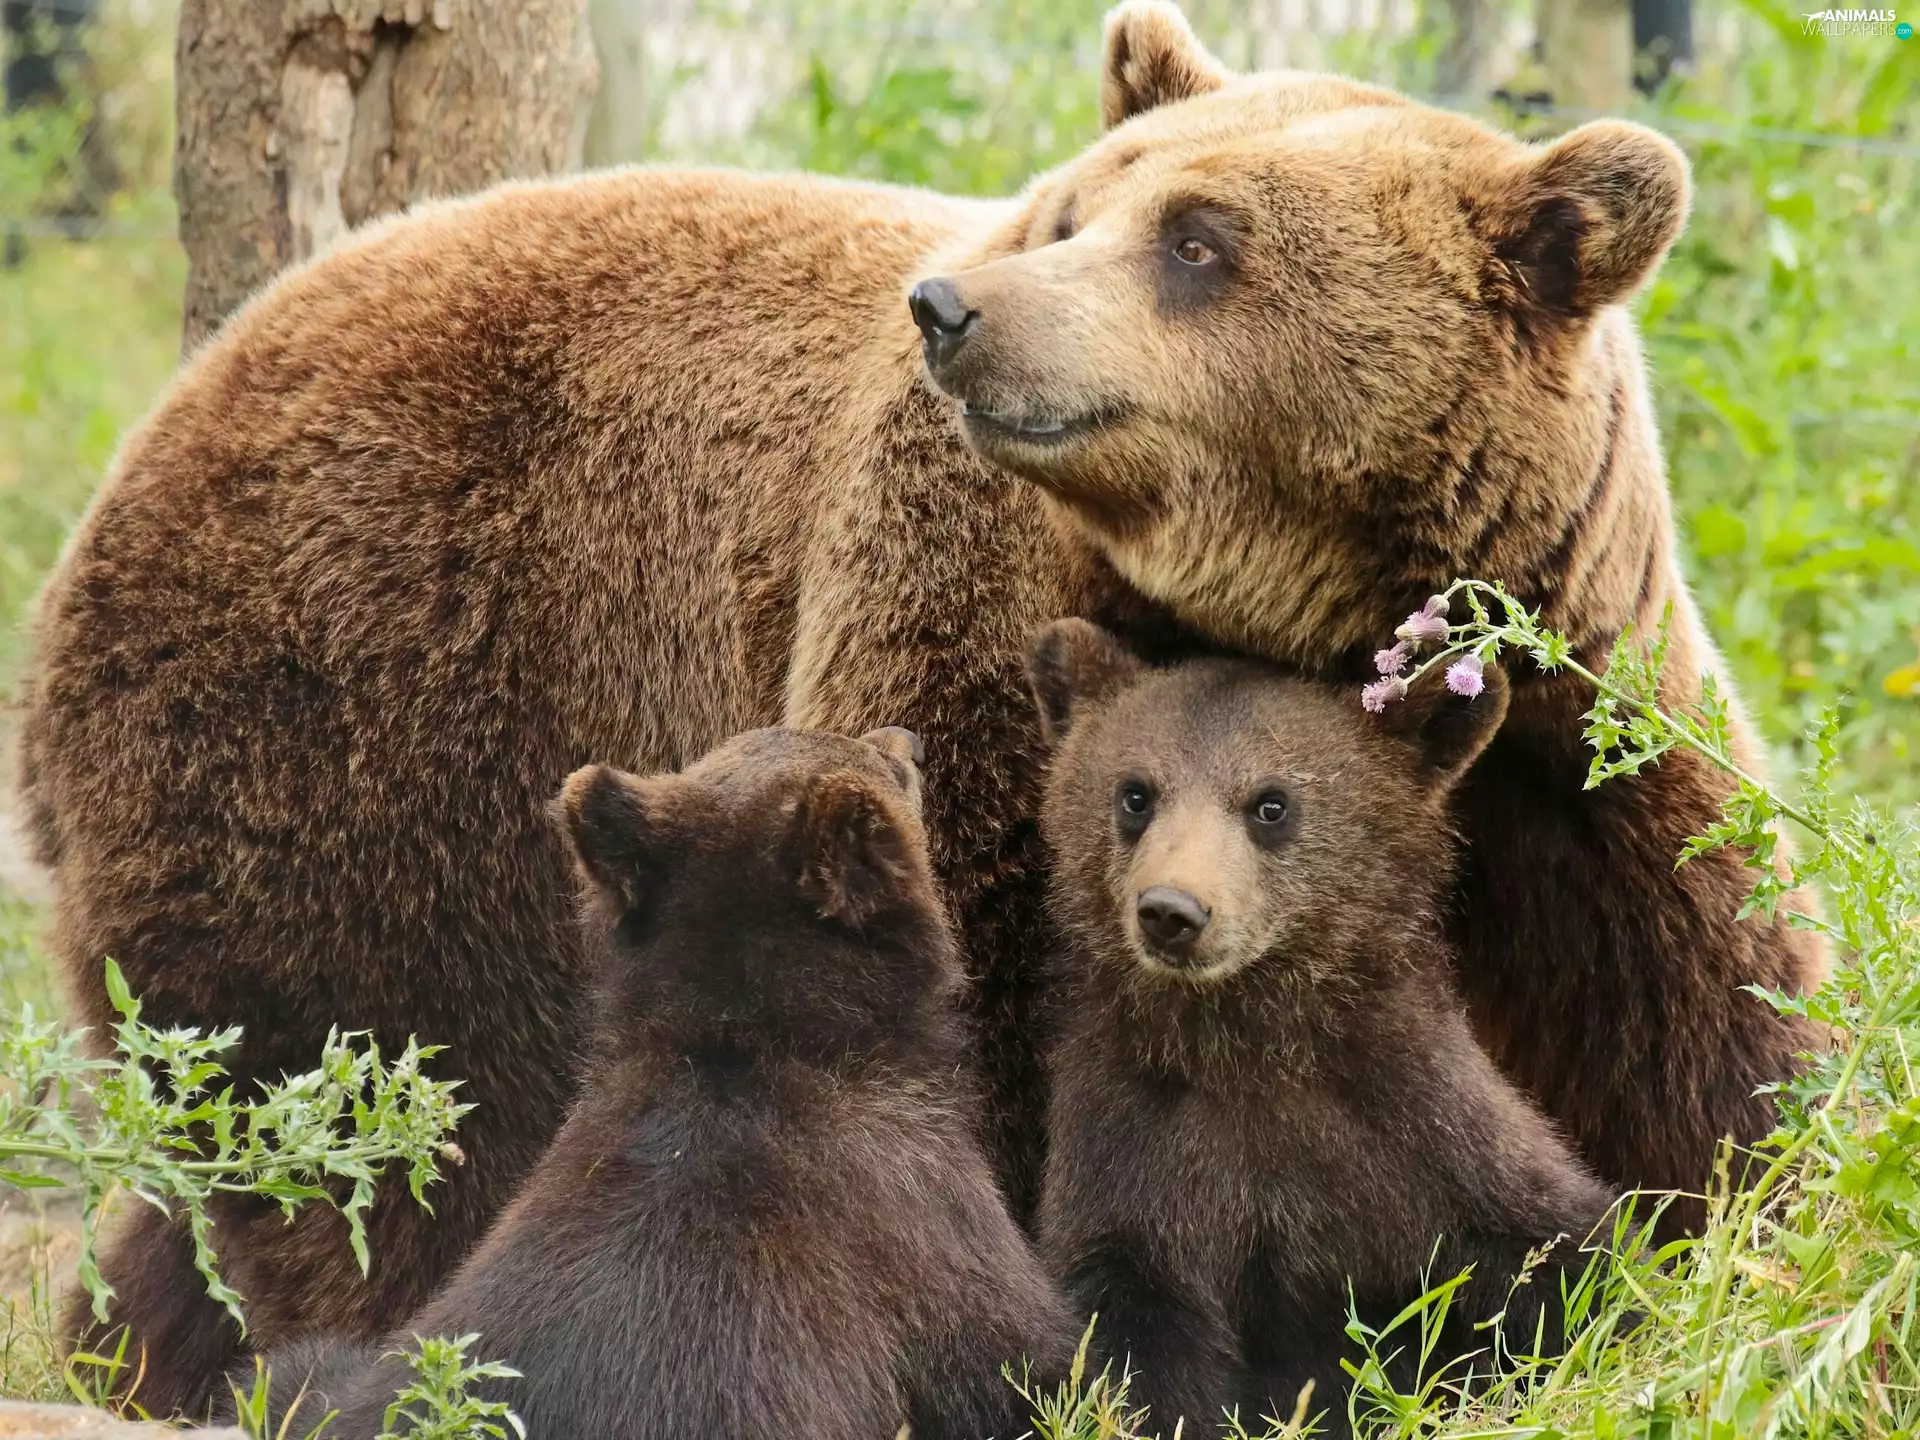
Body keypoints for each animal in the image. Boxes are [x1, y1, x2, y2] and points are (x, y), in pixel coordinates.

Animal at [1026, 619, 1620, 1437]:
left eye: (1271, 804)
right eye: (1135, 792)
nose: (1172, 911)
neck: (1249, 1044)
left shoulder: (1423, 1124)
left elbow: (1561, 1253)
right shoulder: (1131, 1147)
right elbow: (1130, 1335)